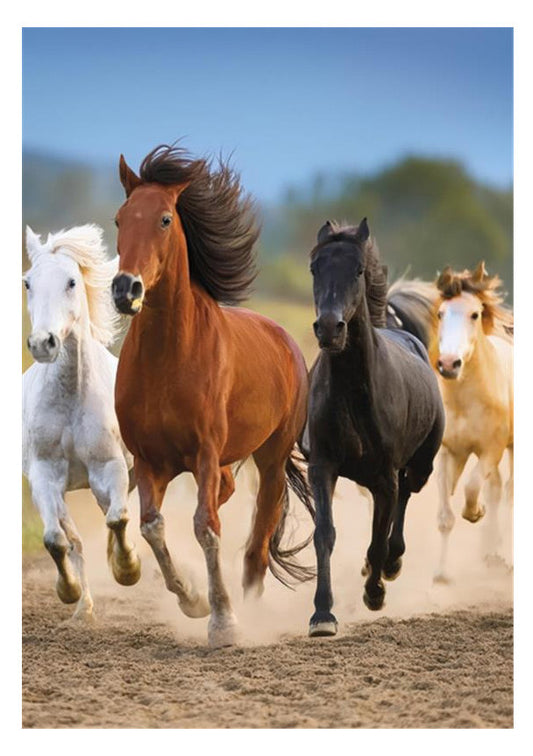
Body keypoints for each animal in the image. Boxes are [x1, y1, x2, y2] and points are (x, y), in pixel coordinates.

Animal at [22, 225, 141, 621]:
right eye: (27, 283)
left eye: (71, 282)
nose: (43, 343)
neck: (72, 396)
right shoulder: (44, 474)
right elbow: (56, 540)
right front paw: (69, 591)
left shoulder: (110, 467)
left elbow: (118, 519)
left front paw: (128, 568)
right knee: (72, 536)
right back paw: (84, 607)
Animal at [111, 144, 313, 647]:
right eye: (120, 219)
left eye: (165, 219)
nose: (126, 289)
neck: (168, 357)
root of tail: (285, 339)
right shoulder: (150, 459)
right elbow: (153, 526)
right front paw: (192, 598)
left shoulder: (203, 452)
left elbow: (207, 527)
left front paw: (224, 621)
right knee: (228, 493)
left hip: (272, 459)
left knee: (258, 543)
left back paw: (251, 609)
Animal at [304, 218, 444, 637]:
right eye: (315, 268)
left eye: (358, 270)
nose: (329, 328)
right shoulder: (323, 467)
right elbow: (325, 534)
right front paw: (322, 614)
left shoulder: (385, 475)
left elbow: (380, 537)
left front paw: (375, 592)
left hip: (419, 466)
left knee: (404, 500)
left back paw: (390, 567)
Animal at [387, 263, 513, 581]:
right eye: (441, 313)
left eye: (475, 314)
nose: (448, 364)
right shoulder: (446, 453)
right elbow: (445, 517)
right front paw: (441, 573)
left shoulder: (490, 451)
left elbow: (471, 487)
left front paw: (475, 512)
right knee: (497, 488)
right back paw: (491, 552)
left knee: (509, 493)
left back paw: (503, 556)